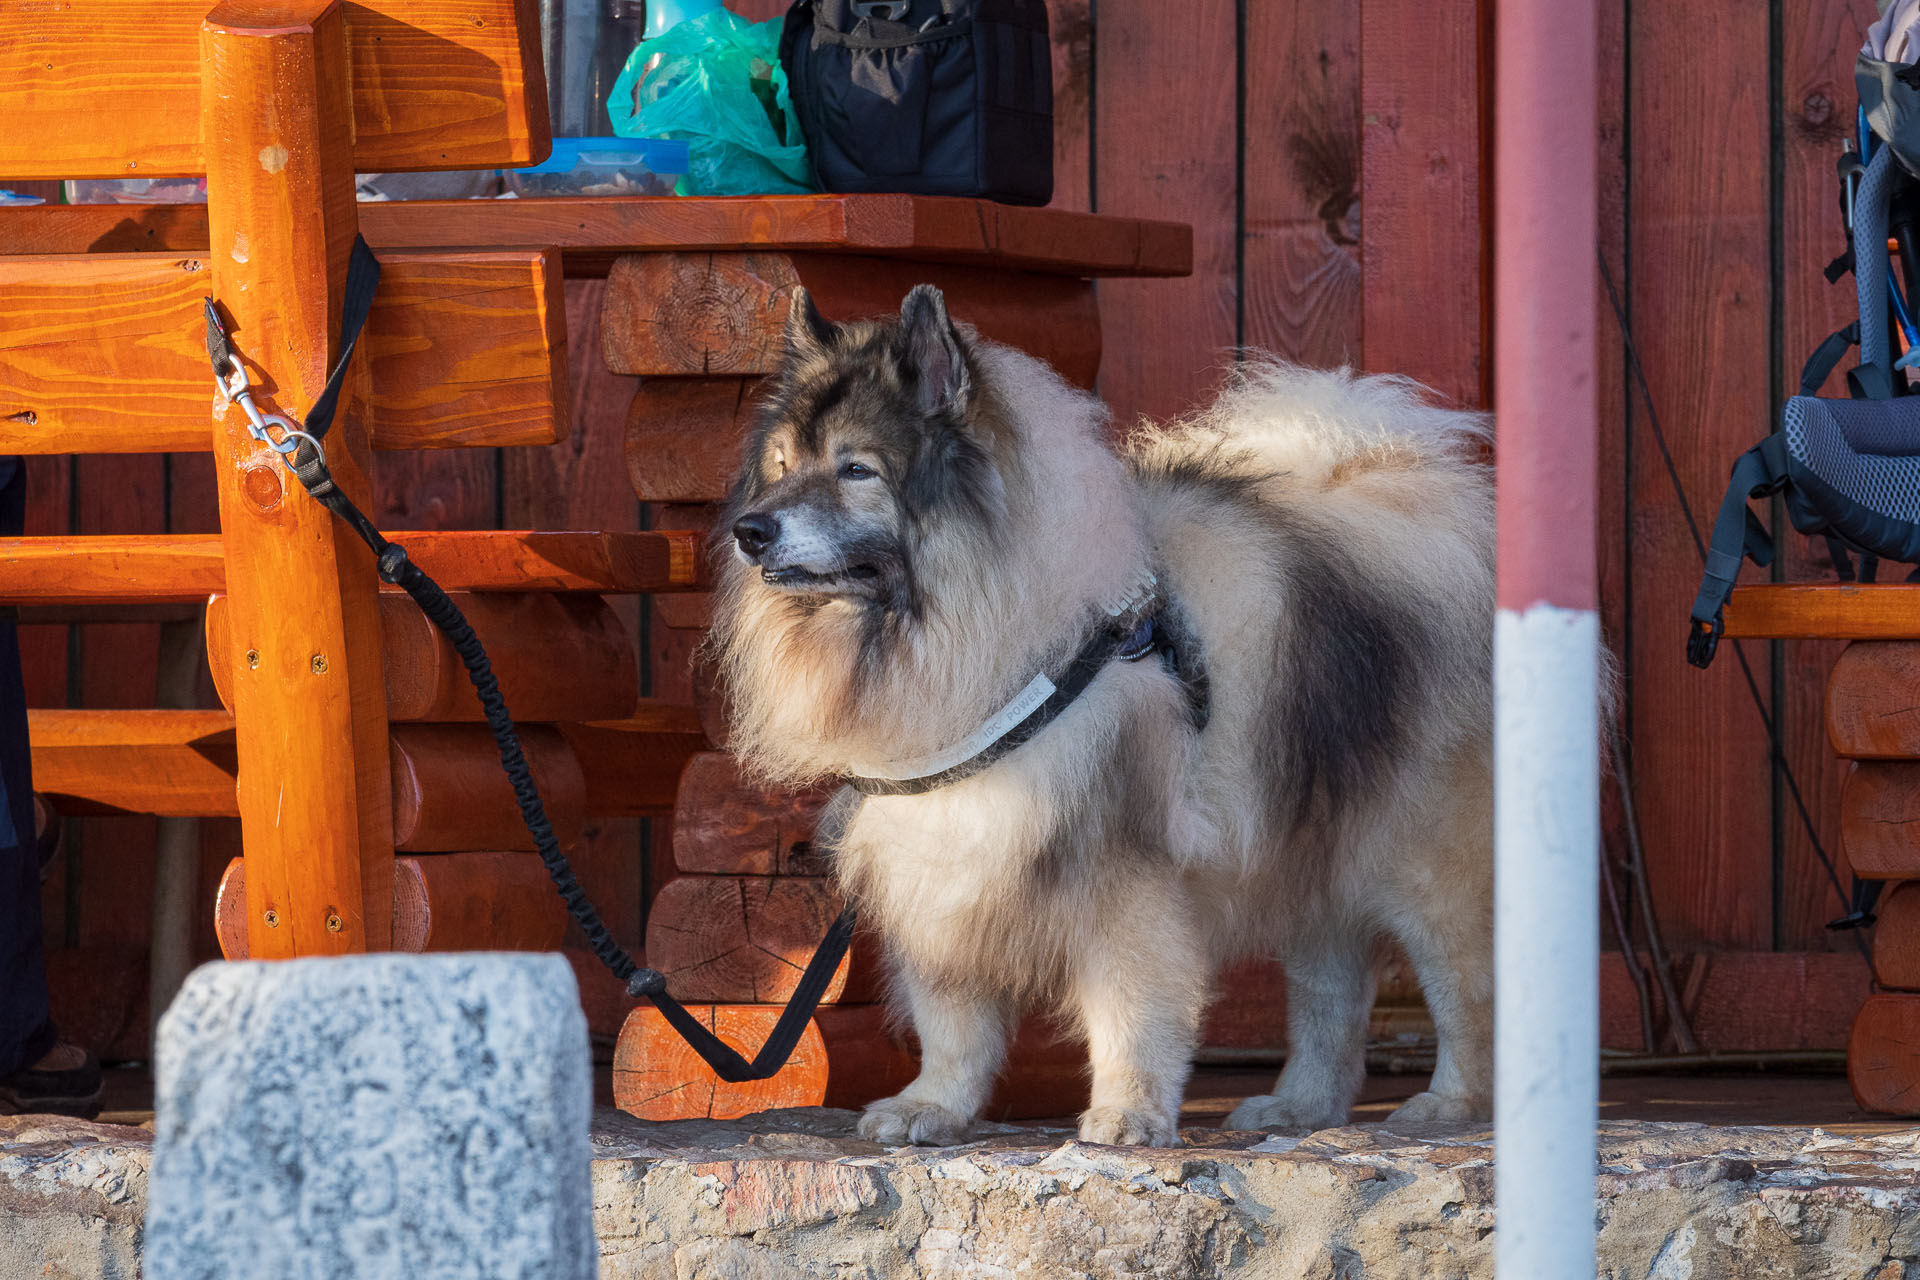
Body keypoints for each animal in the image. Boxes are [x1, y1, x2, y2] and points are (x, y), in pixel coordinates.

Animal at [710, 285, 1497, 1143]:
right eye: (783, 467)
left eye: (857, 469)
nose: (751, 531)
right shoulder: (942, 862)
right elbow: (953, 1019)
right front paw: (933, 1106)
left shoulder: (1123, 876)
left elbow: (1130, 1008)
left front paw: (1127, 1115)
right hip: (1313, 843)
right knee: (1333, 992)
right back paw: (1299, 1106)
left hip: (1427, 866)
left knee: (1465, 992)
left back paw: (1450, 1105)